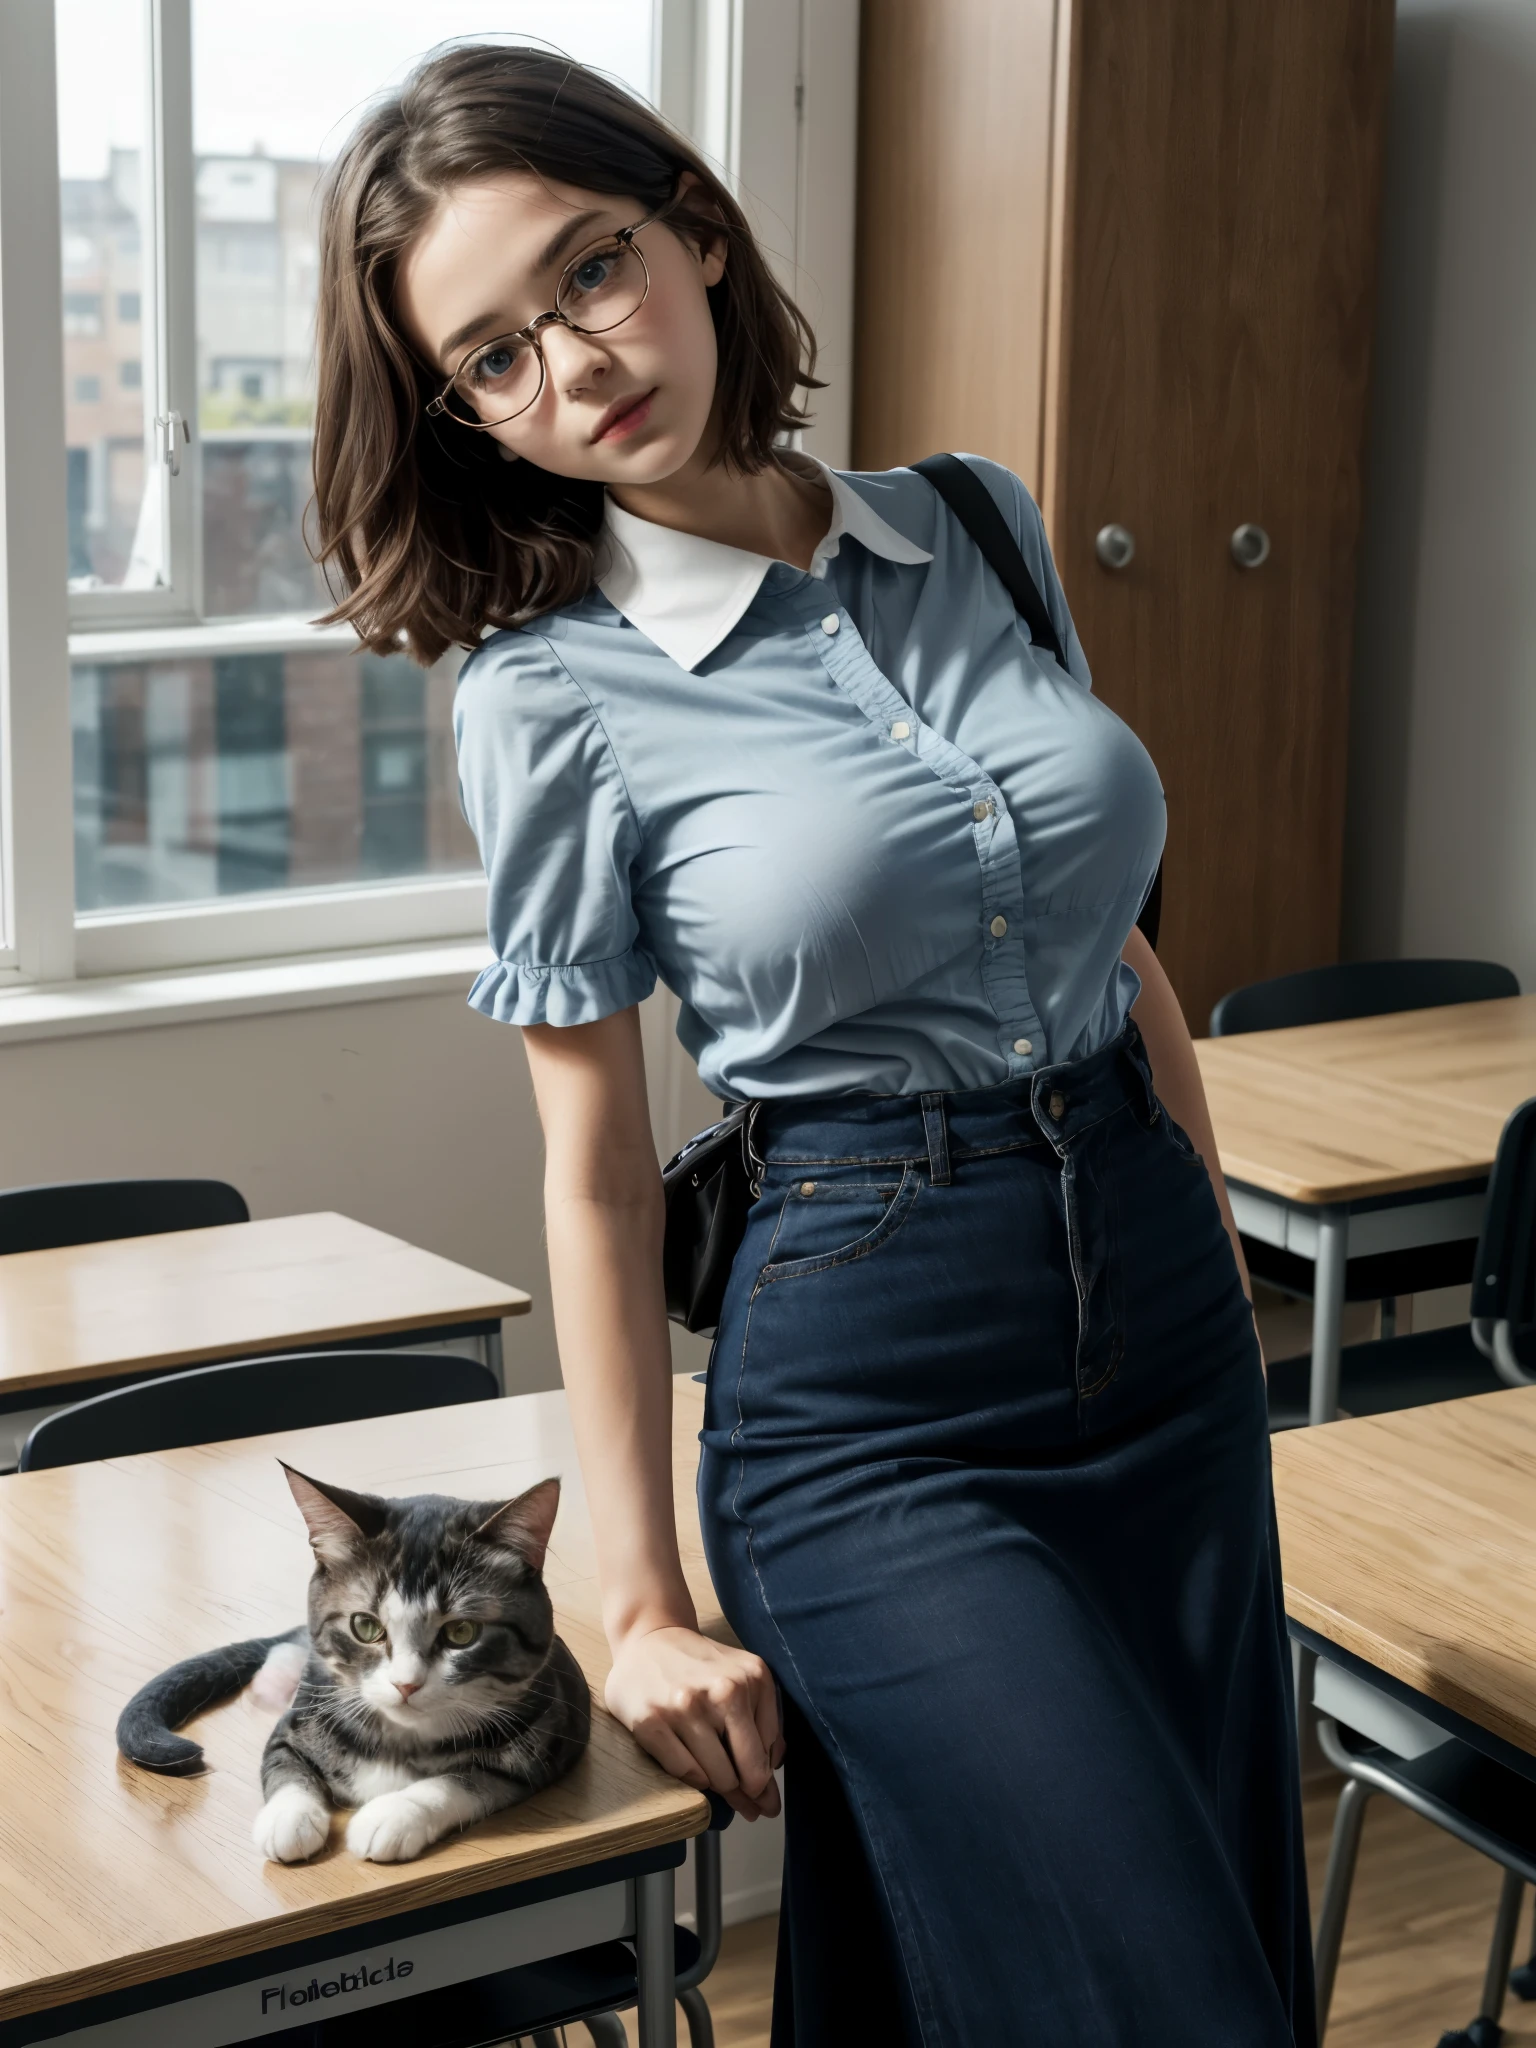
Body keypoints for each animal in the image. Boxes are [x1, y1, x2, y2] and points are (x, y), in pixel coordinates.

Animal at [114, 1466, 593, 1867]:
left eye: (462, 1632)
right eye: (365, 1626)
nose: (405, 1684)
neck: (400, 1736)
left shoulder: (539, 1744)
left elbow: (465, 1779)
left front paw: (391, 1816)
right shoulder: (295, 1724)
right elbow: (284, 1761)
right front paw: (288, 1818)